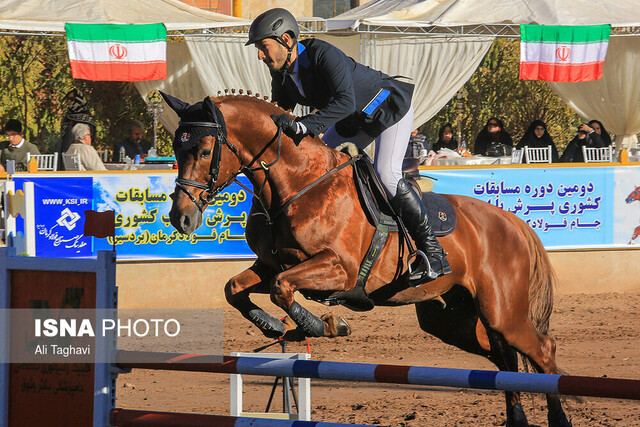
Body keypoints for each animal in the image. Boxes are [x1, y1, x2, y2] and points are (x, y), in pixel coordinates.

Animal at [164, 93, 568, 427]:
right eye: (176, 151)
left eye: (204, 152)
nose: (181, 217)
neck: (299, 183)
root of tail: (511, 221)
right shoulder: (272, 265)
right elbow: (235, 288)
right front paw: (274, 326)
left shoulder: (338, 270)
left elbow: (283, 289)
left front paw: (322, 324)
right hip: (452, 319)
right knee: (504, 360)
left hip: (502, 311)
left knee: (541, 350)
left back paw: (559, 419)